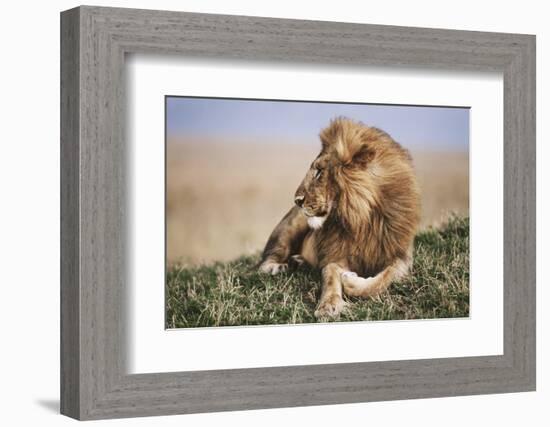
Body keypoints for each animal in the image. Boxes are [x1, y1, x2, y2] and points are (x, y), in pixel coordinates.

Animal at [260, 116, 420, 318]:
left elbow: (383, 279)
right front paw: (328, 305)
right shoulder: (336, 255)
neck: (361, 219)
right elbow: (330, 275)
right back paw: (279, 267)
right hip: (290, 227)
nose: (297, 200)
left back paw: (299, 262)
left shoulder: (401, 256)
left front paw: (350, 281)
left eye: (319, 172)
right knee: (265, 261)